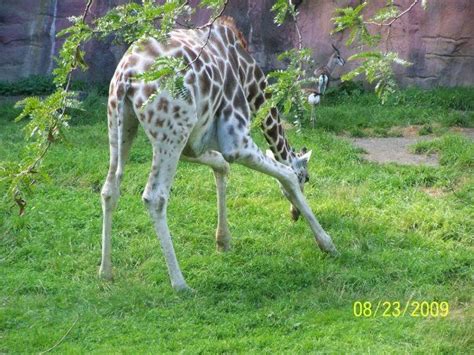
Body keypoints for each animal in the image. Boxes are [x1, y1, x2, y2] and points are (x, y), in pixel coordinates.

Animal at [99, 16, 336, 292]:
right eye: (306, 178)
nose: (294, 215)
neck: (250, 78)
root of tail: (127, 77)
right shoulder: (236, 140)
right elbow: (286, 173)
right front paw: (327, 243)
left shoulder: (194, 144)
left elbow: (222, 165)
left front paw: (223, 241)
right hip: (171, 130)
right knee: (155, 197)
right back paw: (180, 284)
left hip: (121, 123)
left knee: (110, 188)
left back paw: (105, 272)